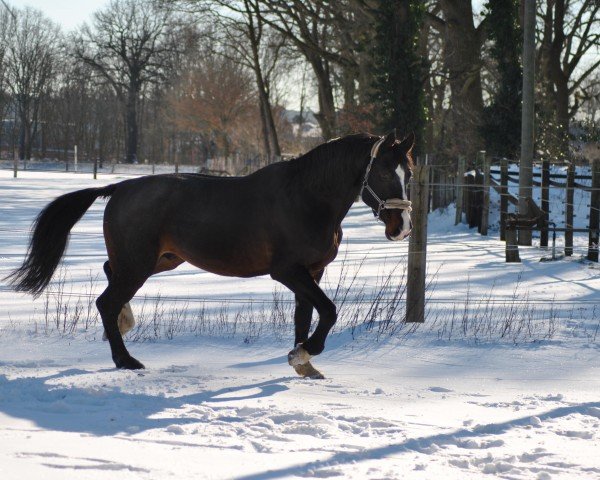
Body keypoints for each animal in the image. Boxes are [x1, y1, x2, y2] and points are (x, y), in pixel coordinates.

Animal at [8, 130, 412, 378]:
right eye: (385, 174)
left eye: (409, 173)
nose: (402, 228)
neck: (307, 199)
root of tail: (120, 187)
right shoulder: (287, 271)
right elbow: (328, 311)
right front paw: (306, 352)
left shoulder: (312, 271)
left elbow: (305, 315)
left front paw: (302, 361)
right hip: (140, 264)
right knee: (106, 301)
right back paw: (126, 360)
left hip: (159, 260)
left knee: (110, 277)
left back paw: (125, 325)